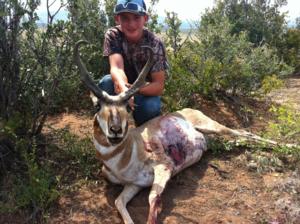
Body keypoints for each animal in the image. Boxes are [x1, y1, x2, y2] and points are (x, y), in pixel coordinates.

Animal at [73, 40, 296, 224]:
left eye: (128, 106)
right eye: (97, 106)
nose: (116, 131)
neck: (126, 156)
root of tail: (188, 110)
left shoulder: (164, 168)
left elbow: (153, 200)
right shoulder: (134, 185)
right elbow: (119, 203)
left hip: (213, 126)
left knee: (244, 133)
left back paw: (292, 147)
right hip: (214, 140)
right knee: (239, 139)